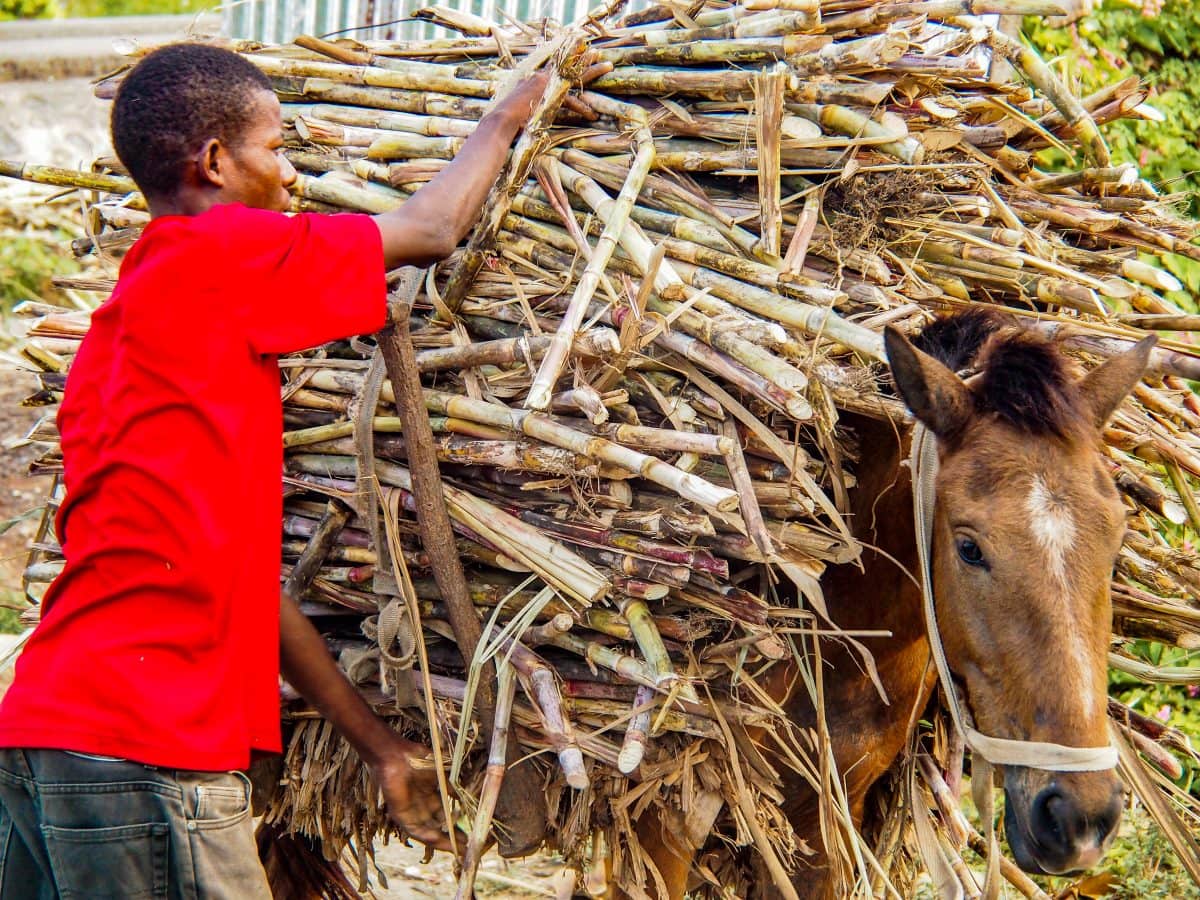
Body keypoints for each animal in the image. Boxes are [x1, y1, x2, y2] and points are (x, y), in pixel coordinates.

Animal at [628, 312, 1152, 900]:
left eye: (1116, 541)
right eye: (969, 548)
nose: (1079, 818)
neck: (837, 644)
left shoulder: (828, 822)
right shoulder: (661, 826)